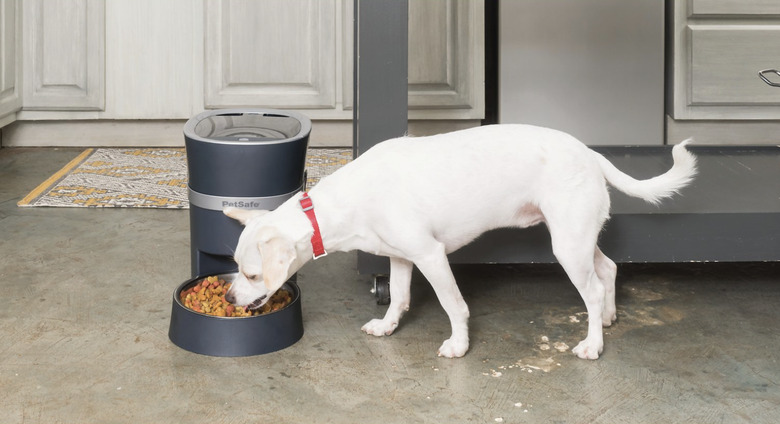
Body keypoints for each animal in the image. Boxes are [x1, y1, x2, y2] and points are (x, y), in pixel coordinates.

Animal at [222, 124, 696, 360]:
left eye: (251, 274)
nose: (227, 298)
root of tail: (590, 153)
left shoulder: (430, 257)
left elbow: (454, 306)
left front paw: (459, 345)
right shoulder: (401, 259)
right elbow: (398, 297)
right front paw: (388, 326)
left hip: (567, 246)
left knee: (593, 291)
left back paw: (593, 344)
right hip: (576, 239)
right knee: (608, 269)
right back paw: (611, 317)